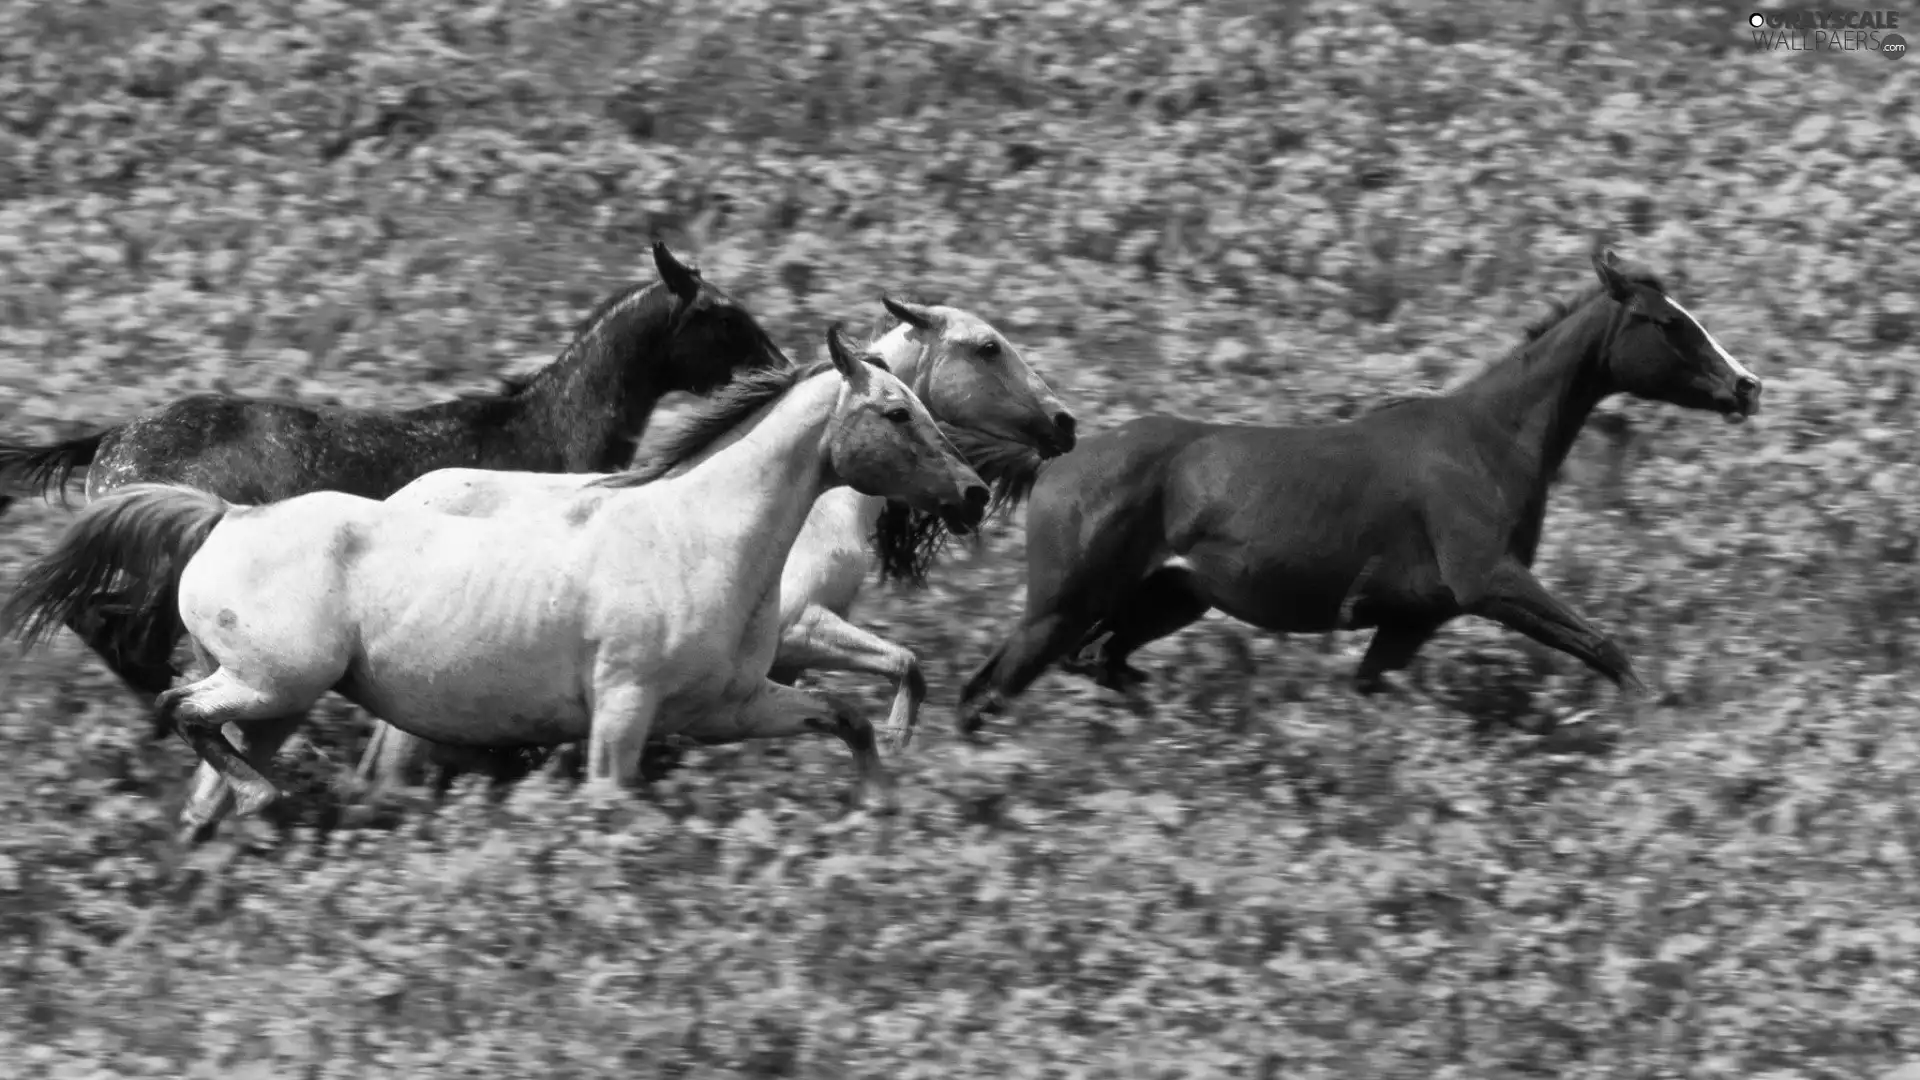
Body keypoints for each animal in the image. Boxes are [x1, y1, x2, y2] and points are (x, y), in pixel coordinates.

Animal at [0, 244, 791, 718]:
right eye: (722, 316)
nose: (779, 363)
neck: (544, 428)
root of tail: (107, 443)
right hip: (164, 570)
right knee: (108, 624)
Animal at [3, 322, 990, 818]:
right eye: (896, 412)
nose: (975, 492)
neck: (698, 536)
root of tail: (225, 519)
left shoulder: (727, 706)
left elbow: (845, 717)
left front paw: (880, 805)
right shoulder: (624, 709)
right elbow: (612, 805)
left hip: (274, 704)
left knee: (203, 783)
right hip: (274, 683)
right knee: (180, 711)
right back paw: (263, 796)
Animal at [345, 294, 1075, 799]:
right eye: (987, 348)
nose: (1064, 421)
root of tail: (396, 502)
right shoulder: (800, 627)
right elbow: (904, 663)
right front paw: (894, 749)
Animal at [960, 247, 1766, 726]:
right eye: (1668, 324)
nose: (1748, 386)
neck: (1486, 441)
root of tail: (1058, 461)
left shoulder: (1412, 619)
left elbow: (1370, 689)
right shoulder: (1490, 582)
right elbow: (1605, 647)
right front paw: (1656, 723)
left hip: (1167, 598)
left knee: (1103, 663)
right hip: (1063, 605)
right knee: (988, 689)